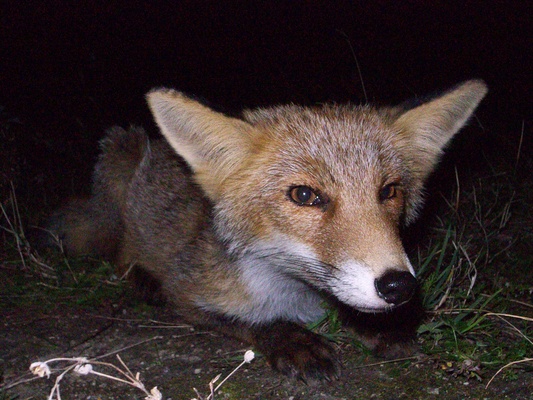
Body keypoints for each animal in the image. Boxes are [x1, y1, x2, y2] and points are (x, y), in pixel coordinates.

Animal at [48, 79, 486, 382]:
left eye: (389, 191)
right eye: (305, 195)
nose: (399, 287)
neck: (294, 295)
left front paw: (376, 327)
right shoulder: (188, 292)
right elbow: (254, 322)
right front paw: (293, 340)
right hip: (122, 158)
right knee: (119, 253)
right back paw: (142, 279)